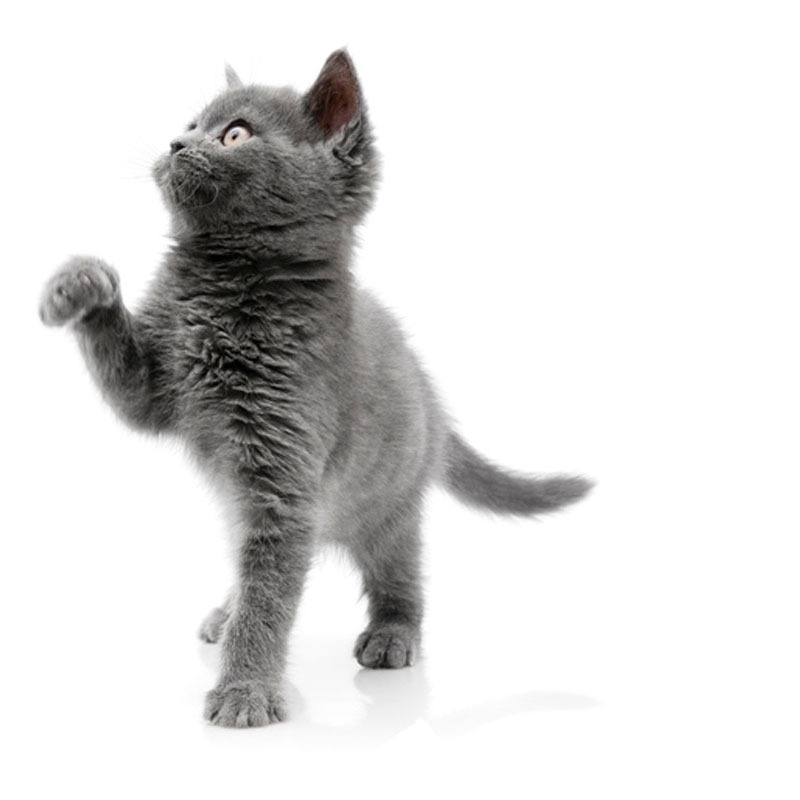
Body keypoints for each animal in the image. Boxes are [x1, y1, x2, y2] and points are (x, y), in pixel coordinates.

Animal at [39, 50, 592, 728]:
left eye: (235, 134)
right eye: (192, 124)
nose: (175, 143)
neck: (228, 288)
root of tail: (432, 396)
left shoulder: (282, 477)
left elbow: (270, 595)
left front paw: (246, 690)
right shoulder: (156, 387)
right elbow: (126, 382)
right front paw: (80, 284)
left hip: (390, 501)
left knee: (400, 569)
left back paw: (393, 633)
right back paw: (226, 610)